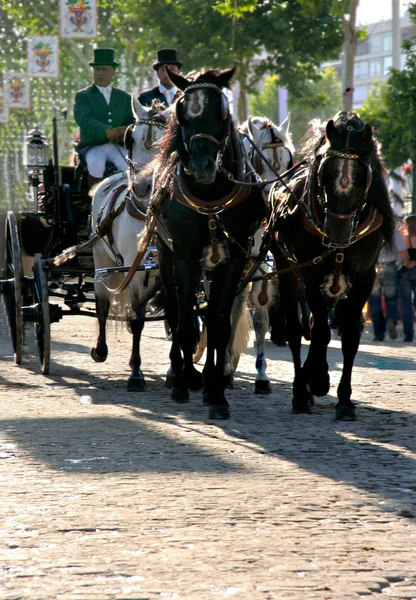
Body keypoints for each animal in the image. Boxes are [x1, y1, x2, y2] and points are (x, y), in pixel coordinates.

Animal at [90, 96, 167, 392]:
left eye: (164, 142)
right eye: (130, 138)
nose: (142, 187)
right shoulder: (133, 276)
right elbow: (137, 321)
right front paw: (136, 372)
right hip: (102, 260)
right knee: (102, 305)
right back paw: (100, 350)